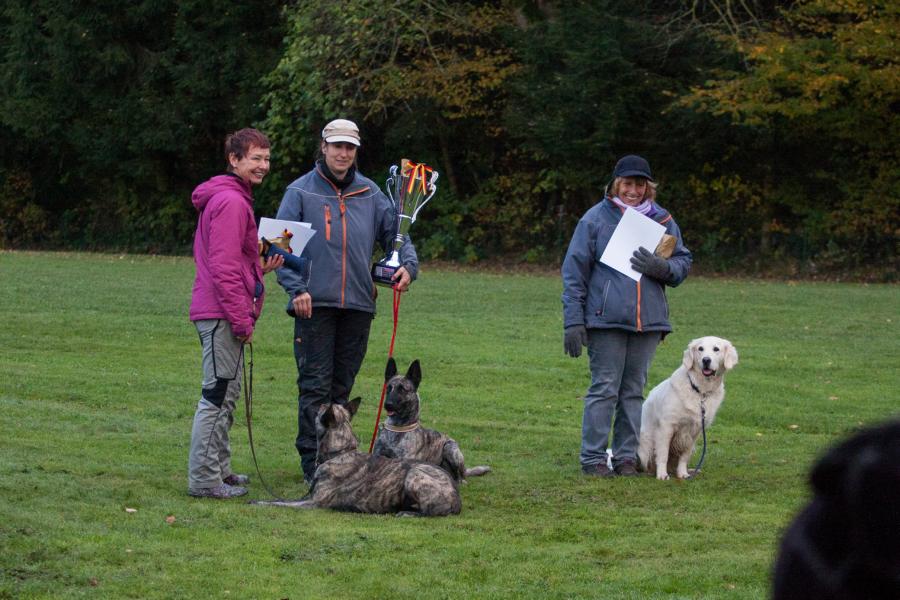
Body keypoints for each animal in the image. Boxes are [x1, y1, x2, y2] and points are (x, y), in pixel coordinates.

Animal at [253, 399, 461, 516]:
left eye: (319, 408)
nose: (308, 405)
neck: (341, 451)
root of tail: (456, 496)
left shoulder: (314, 503)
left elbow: (282, 504)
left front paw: (259, 503)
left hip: (415, 475)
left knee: (430, 512)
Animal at [638, 336, 739, 480]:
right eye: (700, 349)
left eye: (716, 349)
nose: (706, 360)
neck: (700, 391)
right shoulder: (666, 427)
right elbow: (663, 454)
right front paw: (662, 474)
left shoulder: (695, 431)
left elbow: (684, 456)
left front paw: (683, 473)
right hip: (645, 441)